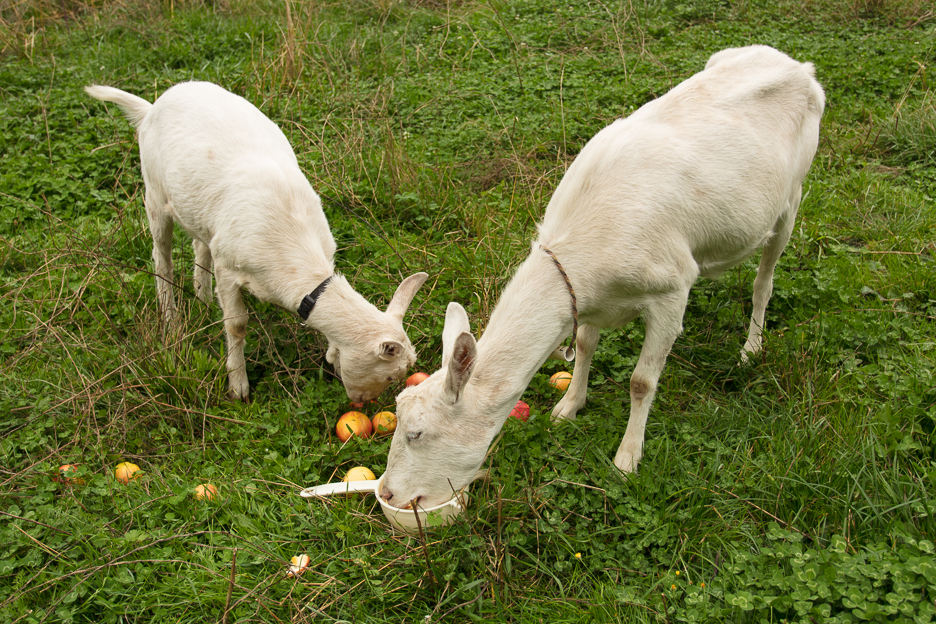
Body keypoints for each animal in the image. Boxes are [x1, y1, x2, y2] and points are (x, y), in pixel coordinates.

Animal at [87, 80, 424, 402]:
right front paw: (238, 387)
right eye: (391, 375)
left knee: (200, 245)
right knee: (162, 257)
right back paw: (170, 319)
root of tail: (151, 106)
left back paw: (203, 299)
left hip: (201, 214)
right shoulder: (228, 267)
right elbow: (236, 325)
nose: (363, 401)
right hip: (154, 192)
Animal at [376, 45, 824, 512]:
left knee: (764, 280)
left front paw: (627, 459)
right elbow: (587, 344)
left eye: (417, 433)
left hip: (792, 197)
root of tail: (799, 66)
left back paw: (751, 347)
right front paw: (568, 406)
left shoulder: (671, 287)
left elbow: (642, 381)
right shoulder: (584, 297)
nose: (387, 492)